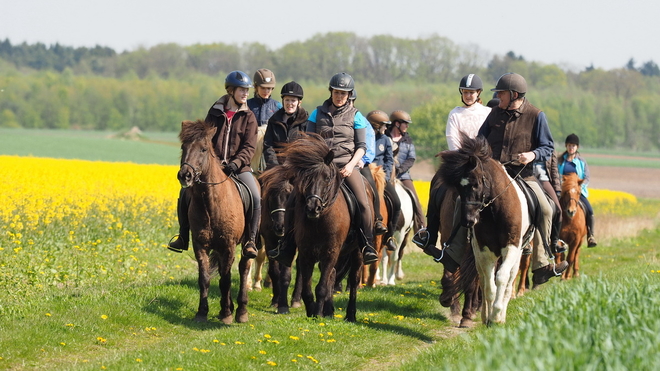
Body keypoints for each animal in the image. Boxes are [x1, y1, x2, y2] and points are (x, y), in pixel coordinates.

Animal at [177, 120, 251, 326]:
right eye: (183, 147)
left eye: (203, 149)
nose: (185, 175)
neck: (210, 202)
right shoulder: (200, 245)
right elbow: (205, 278)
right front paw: (202, 312)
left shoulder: (228, 245)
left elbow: (225, 280)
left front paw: (226, 314)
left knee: (243, 268)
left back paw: (241, 311)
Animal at [282, 134, 368, 322]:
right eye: (305, 178)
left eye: (327, 178)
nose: (313, 208)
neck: (319, 221)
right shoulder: (306, 252)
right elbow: (308, 289)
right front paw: (313, 311)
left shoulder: (331, 251)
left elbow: (321, 287)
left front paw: (316, 314)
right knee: (333, 274)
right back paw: (328, 311)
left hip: (357, 251)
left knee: (353, 279)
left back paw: (350, 314)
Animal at [438, 135, 532, 326]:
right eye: (458, 187)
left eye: (475, 184)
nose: (467, 221)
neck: (495, 212)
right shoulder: (484, 251)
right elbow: (488, 284)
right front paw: (488, 317)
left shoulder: (511, 248)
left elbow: (502, 278)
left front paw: (497, 316)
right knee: (481, 280)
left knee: (509, 280)